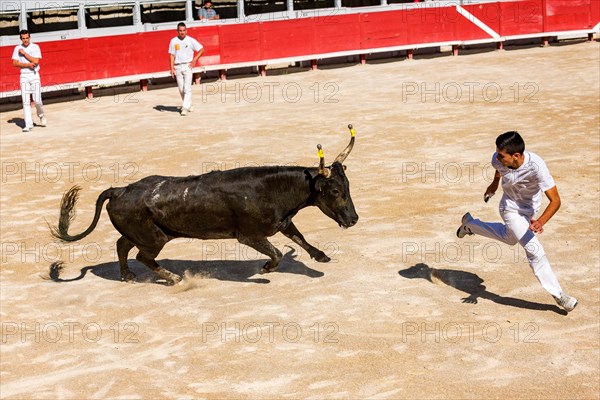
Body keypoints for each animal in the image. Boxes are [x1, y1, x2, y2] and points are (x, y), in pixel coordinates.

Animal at [50, 128, 356, 284]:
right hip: (154, 238)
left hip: (144, 233)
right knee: (142, 255)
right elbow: (278, 253)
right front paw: (265, 270)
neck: (270, 190)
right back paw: (173, 278)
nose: (353, 220)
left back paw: (127, 276)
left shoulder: (281, 222)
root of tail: (119, 189)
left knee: (122, 245)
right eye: (335, 191)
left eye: (348, 187)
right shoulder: (250, 236)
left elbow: (299, 238)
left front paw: (321, 256)